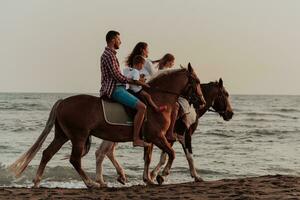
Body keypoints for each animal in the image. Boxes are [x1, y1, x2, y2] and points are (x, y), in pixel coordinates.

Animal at [9, 63, 206, 188]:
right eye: (196, 82)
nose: (202, 102)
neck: (158, 101)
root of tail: (63, 102)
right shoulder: (157, 137)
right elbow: (171, 154)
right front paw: (161, 175)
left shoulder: (151, 139)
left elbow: (149, 158)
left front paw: (148, 179)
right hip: (78, 136)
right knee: (75, 159)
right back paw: (91, 183)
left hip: (62, 135)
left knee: (47, 153)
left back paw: (37, 182)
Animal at [94, 77, 234, 186]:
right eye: (225, 94)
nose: (230, 114)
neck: (192, 107)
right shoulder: (185, 135)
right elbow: (188, 155)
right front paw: (195, 176)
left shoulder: (166, 138)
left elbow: (163, 156)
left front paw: (155, 175)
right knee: (103, 152)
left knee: (105, 152)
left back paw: (116, 177)